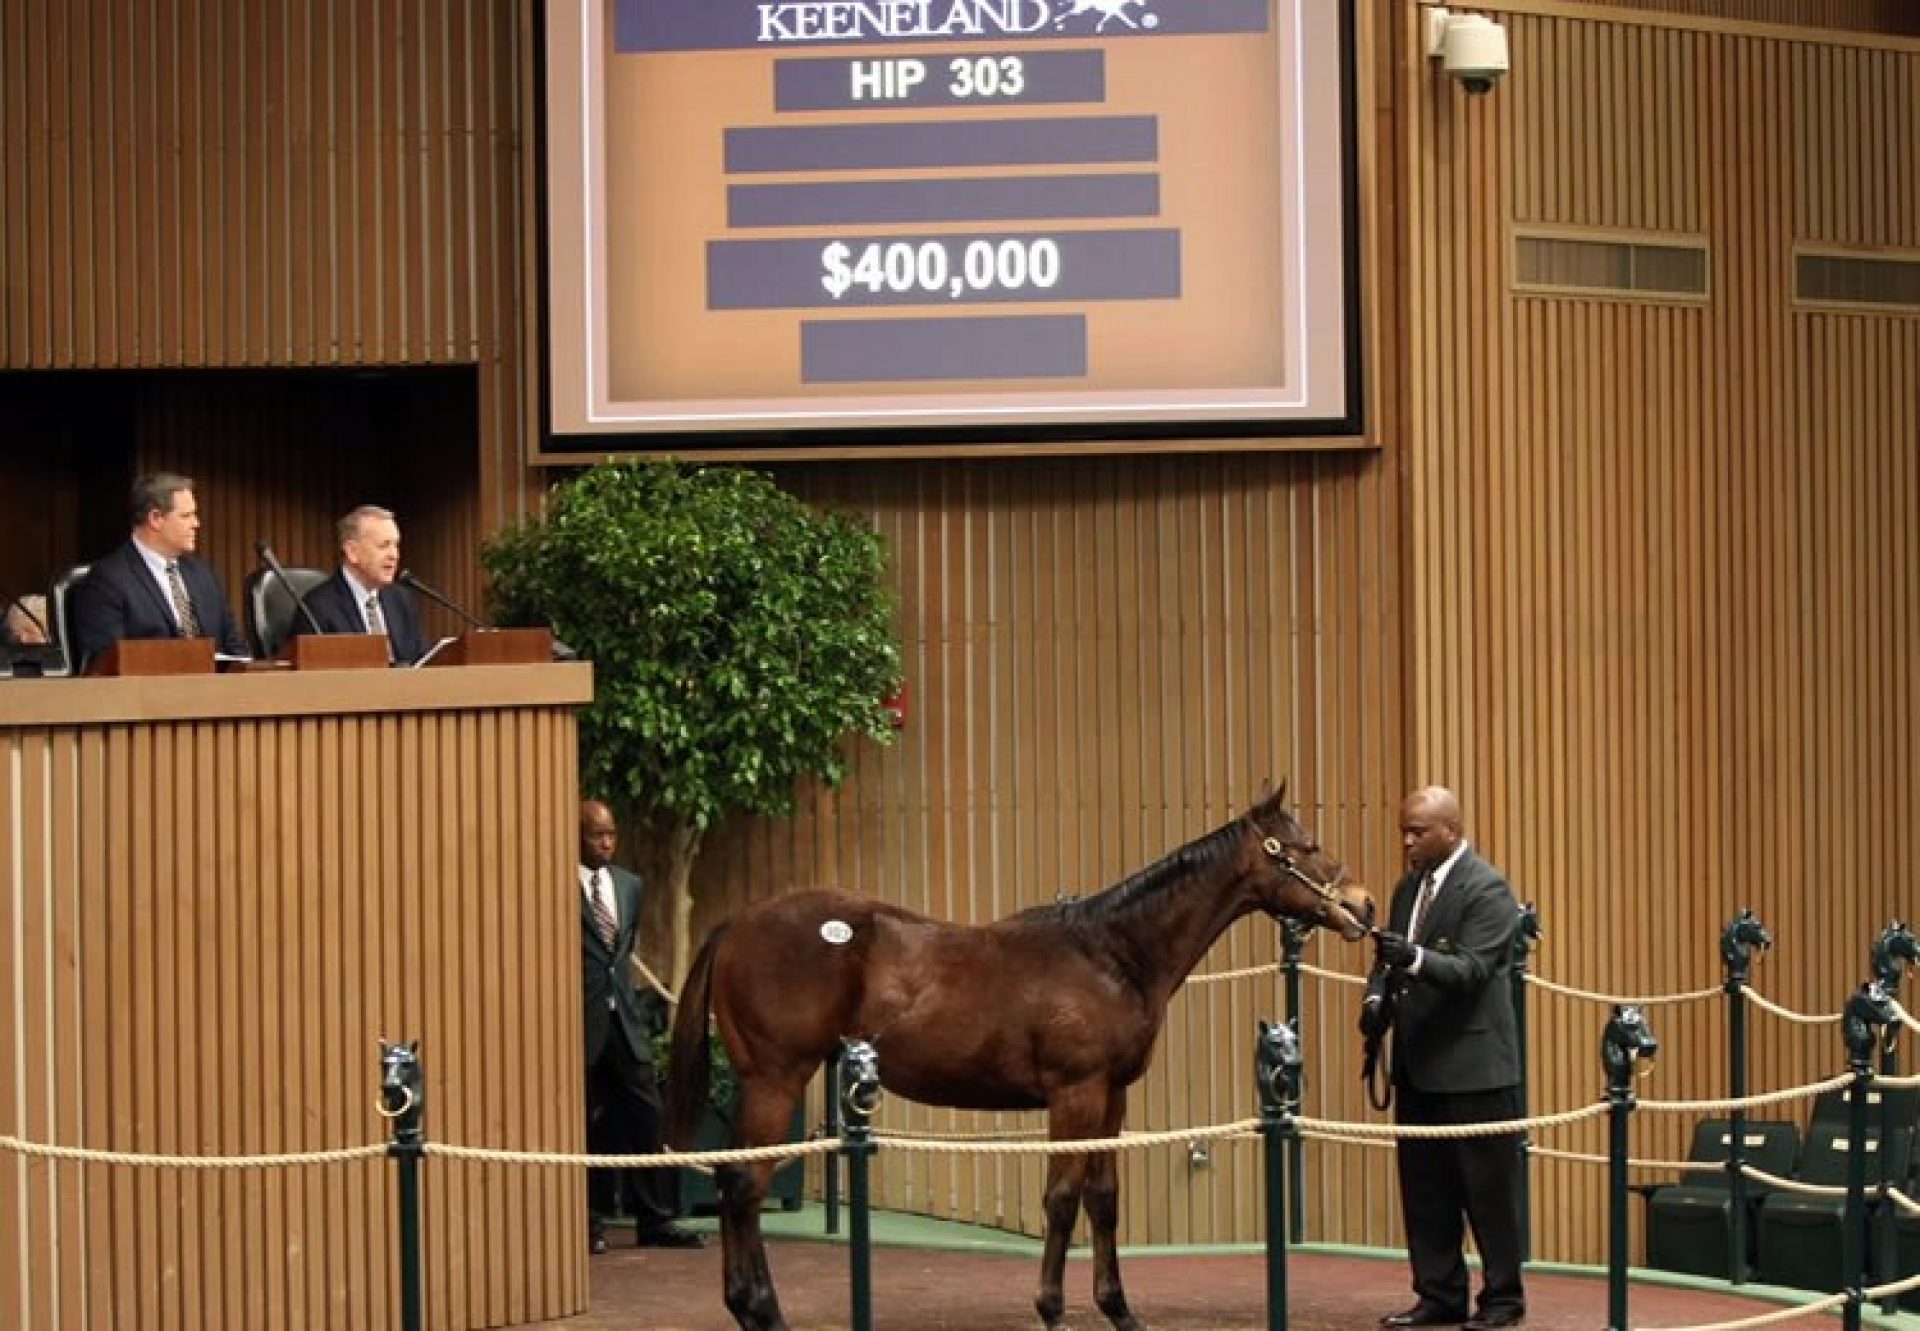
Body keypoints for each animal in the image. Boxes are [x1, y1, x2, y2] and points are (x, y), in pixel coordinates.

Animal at [668, 783, 1374, 1321]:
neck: (1111, 954)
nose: (1363, 905)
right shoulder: (1074, 1093)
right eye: (1306, 846)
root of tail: (737, 923)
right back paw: (761, 1308)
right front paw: (1051, 1308)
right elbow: (1061, 1198)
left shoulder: (1112, 1096)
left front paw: (1118, 1310)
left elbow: (1103, 1198)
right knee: (745, 1186)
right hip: (776, 1080)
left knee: (736, 1181)